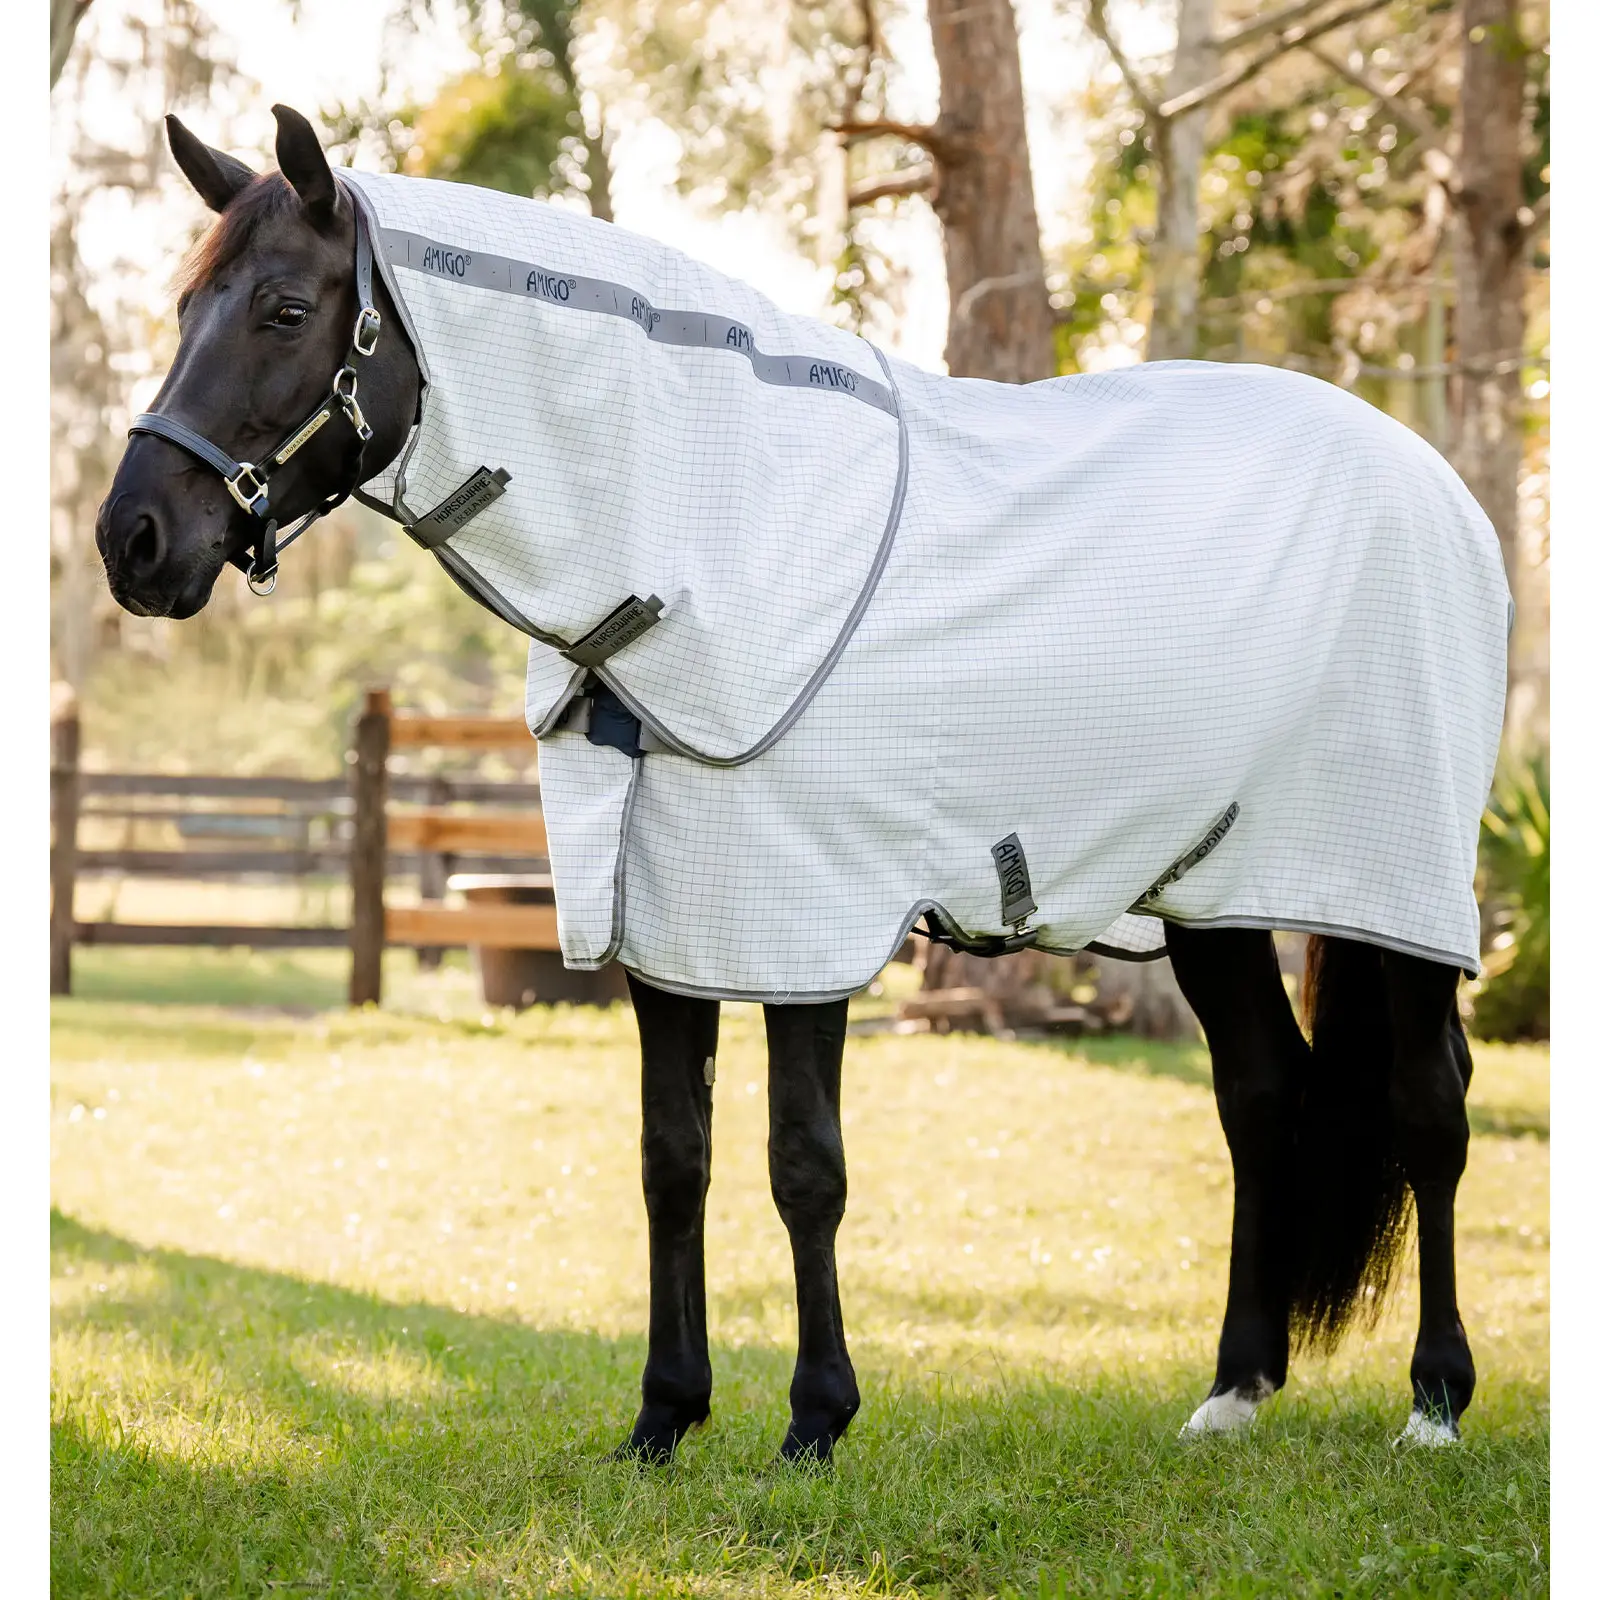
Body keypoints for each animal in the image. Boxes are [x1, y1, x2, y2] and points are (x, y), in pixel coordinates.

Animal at [95, 104, 1503, 1462]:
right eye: (185, 306)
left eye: (285, 310)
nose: (133, 541)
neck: (717, 531)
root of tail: (1436, 486)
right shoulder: (666, 917)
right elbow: (674, 1157)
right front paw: (664, 1416)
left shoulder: (797, 913)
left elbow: (801, 1164)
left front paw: (816, 1418)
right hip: (1213, 891)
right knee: (1260, 1098)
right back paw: (1232, 1393)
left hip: (1396, 887)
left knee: (1430, 1104)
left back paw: (1434, 1402)